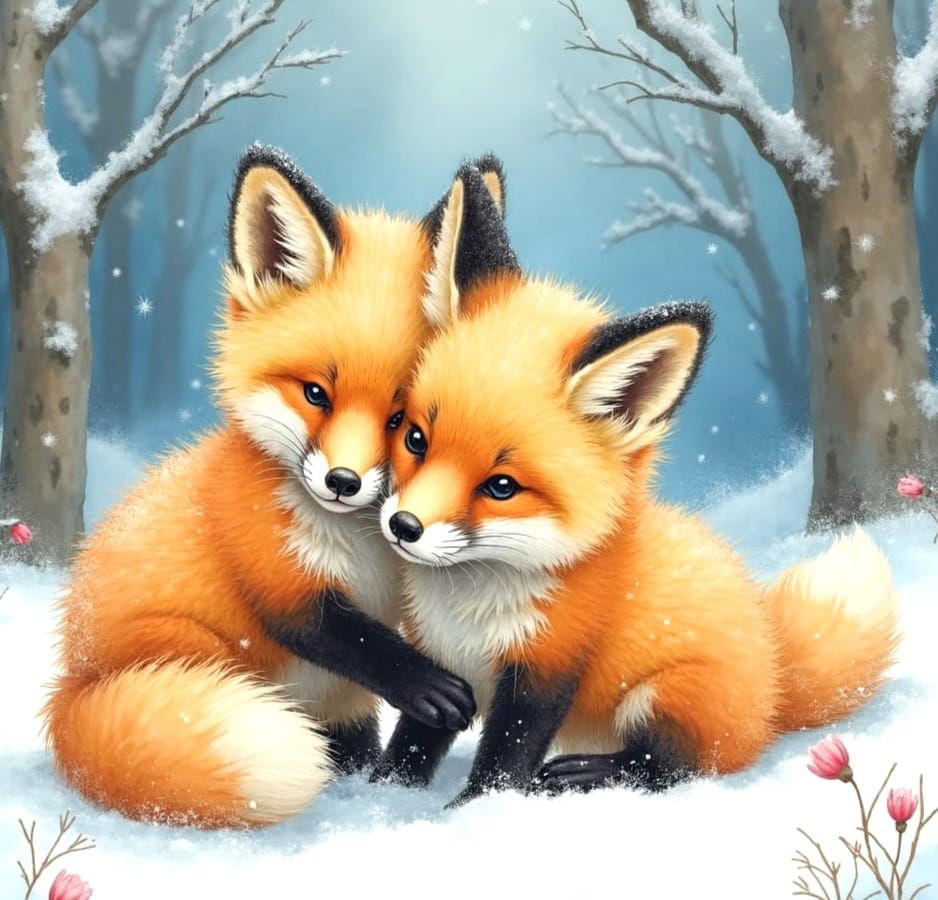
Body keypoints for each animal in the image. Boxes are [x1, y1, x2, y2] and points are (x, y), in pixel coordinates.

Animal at [41, 146, 508, 828]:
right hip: (198, 653)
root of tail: (66, 694)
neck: (361, 546)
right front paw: (430, 687)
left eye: (404, 423)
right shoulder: (273, 564)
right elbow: (348, 637)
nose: (342, 482)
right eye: (316, 393)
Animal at [370, 164, 900, 807]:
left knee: (678, 766)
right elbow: (416, 734)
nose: (403, 527)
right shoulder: (440, 654)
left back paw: (587, 774)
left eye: (501, 486)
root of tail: (775, 683)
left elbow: (507, 754)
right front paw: (383, 790)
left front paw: (475, 808)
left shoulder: (551, 662)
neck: (471, 603)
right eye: (415, 438)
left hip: (667, 697)